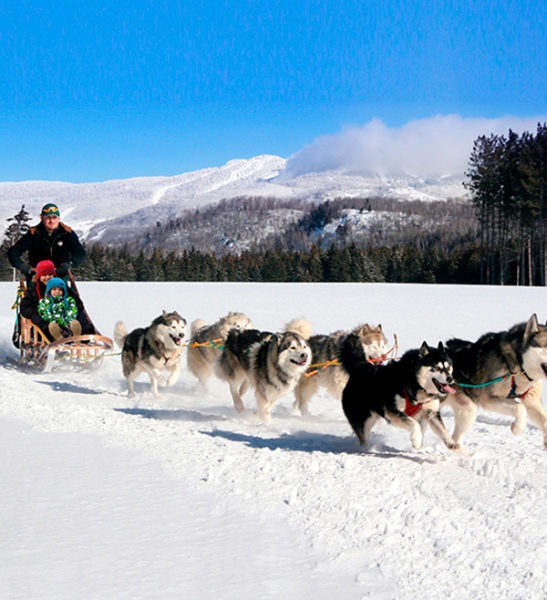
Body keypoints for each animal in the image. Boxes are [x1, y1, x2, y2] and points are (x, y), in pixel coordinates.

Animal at [448, 314, 547, 450]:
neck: (518, 366)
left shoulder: (532, 400)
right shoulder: (488, 399)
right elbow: (520, 408)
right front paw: (517, 428)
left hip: (468, 411)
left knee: (455, 439)